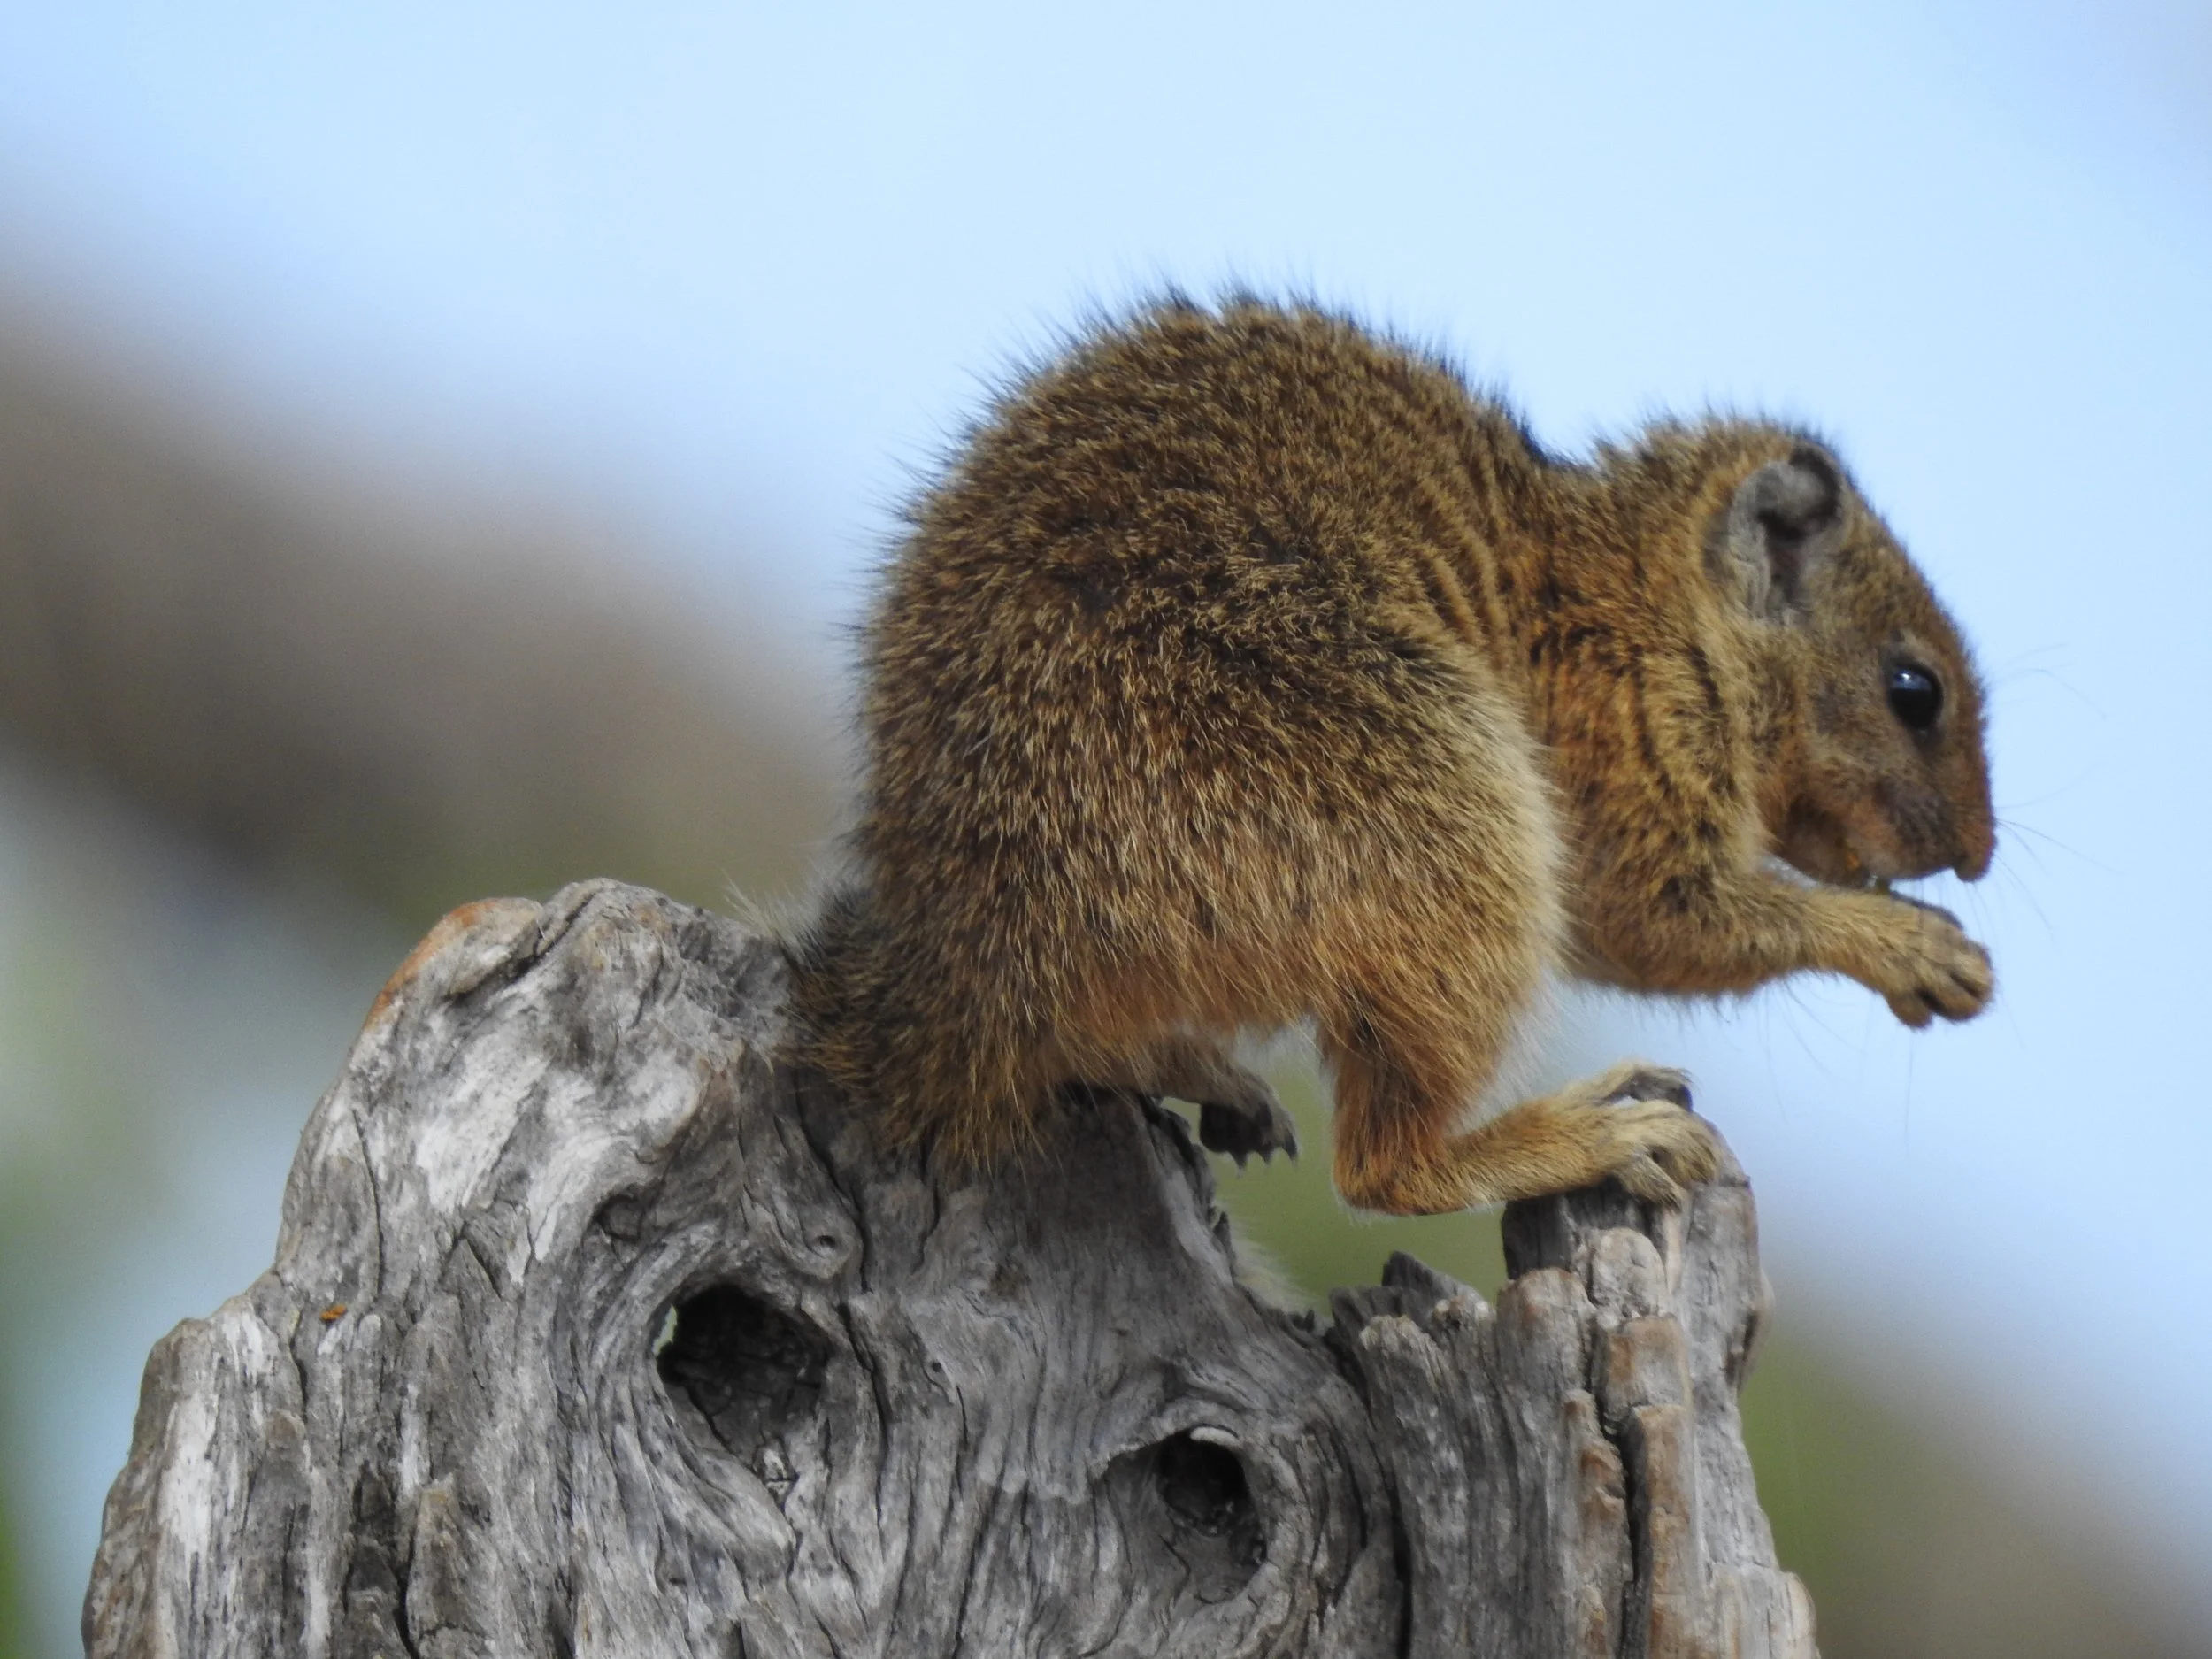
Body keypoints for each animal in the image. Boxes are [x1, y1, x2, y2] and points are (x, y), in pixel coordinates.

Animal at [788, 297, 1995, 1215]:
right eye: (1914, 691)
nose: (1978, 857)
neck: (1638, 599)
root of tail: (970, 968)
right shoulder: (1630, 773)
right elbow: (1672, 922)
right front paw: (1915, 947)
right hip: (1453, 834)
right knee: (1384, 1171)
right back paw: (1585, 1135)